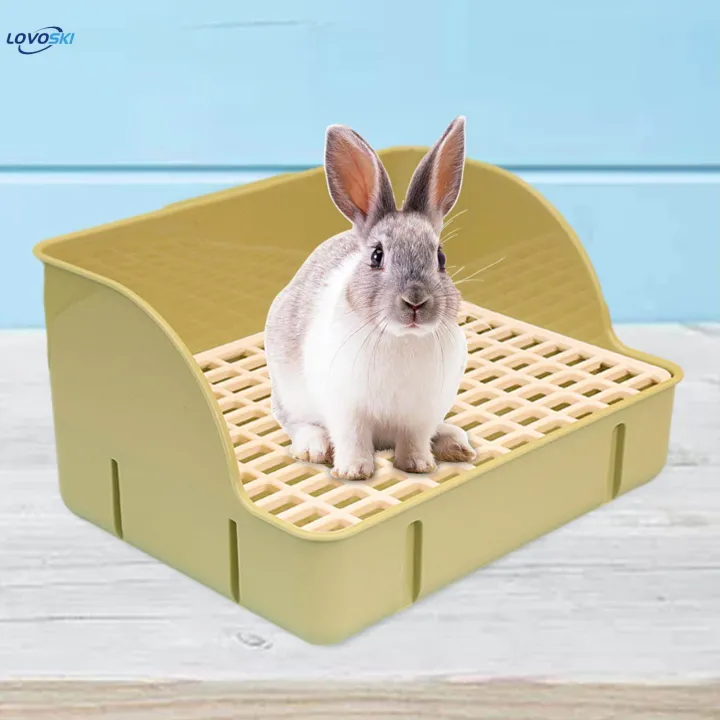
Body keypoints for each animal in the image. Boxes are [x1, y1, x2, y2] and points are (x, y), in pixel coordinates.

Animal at [264, 116, 476, 481]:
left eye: (441, 258)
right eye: (377, 256)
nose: (415, 302)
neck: (402, 338)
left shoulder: (421, 414)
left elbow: (415, 440)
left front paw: (418, 465)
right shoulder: (346, 409)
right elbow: (353, 439)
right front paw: (353, 472)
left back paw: (456, 444)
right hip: (289, 393)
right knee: (294, 422)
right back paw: (313, 447)